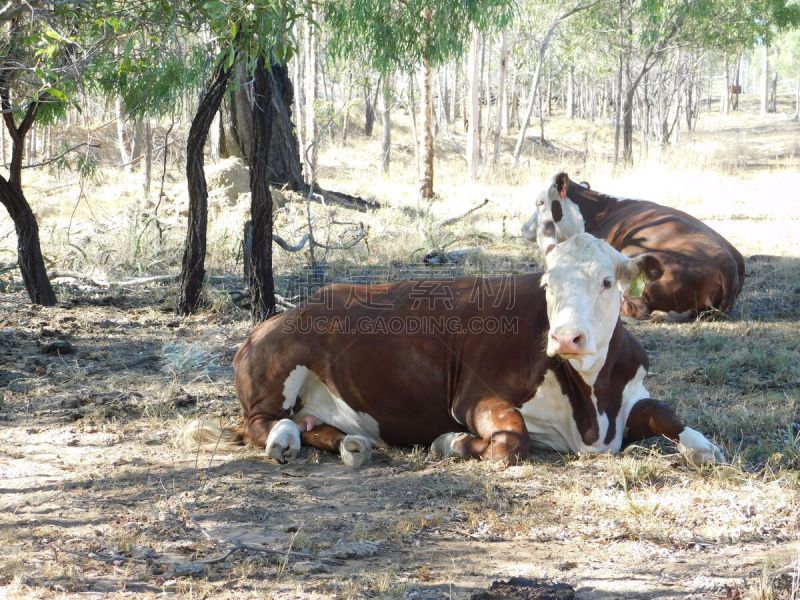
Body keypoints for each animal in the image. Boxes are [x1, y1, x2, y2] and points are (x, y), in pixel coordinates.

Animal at [183, 234, 724, 468]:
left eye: (607, 281)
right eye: (549, 284)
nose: (566, 337)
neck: (594, 407)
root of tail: (273, 319)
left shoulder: (630, 396)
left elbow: (668, 414)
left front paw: (707, 447)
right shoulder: (474, 397)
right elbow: (512, 440)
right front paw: (450, 443)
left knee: (314, 426)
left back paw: (351, 444)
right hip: (279, 364)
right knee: (261, 423)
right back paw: (283, 439)